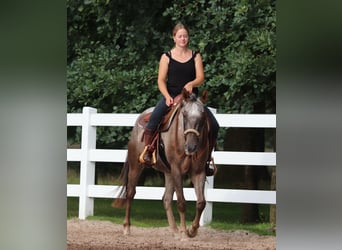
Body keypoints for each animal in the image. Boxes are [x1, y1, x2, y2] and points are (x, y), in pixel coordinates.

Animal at [112, 89, 212, 238]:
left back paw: (175, 230)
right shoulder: (177, 171)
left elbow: (201, 203)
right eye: (184, 115)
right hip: (136, 166)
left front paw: (192, 230)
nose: (191, 147)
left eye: (202, 116)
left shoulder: (198, 172)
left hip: (168, 172)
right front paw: (184, 233)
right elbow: (181, 203)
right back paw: (126, 227)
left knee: (166, 199)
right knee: (130, 193)